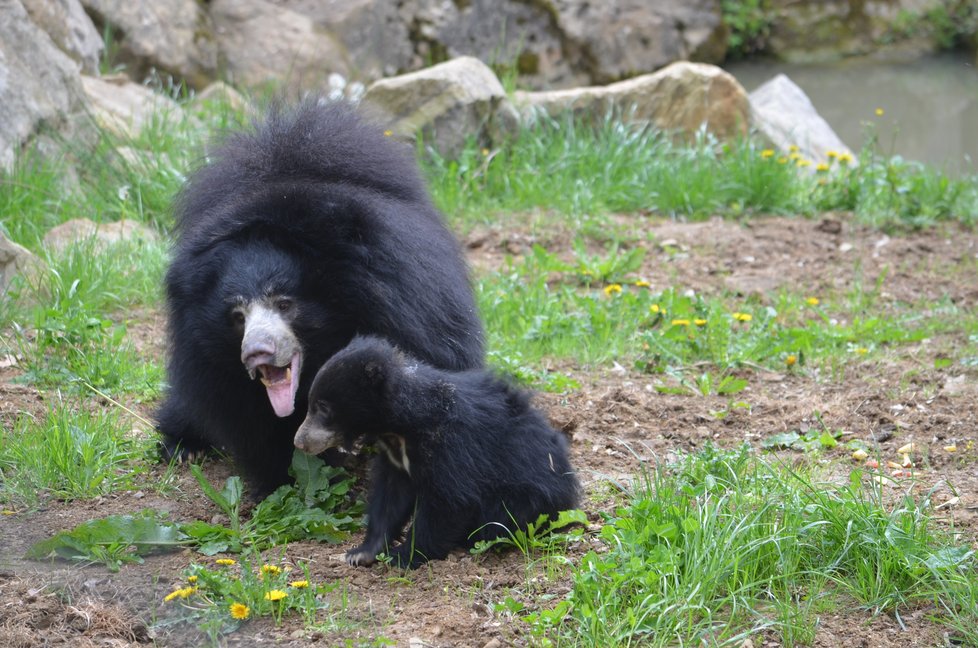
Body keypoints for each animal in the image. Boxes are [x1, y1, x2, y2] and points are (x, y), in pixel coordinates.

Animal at [158, 101, 486, 496]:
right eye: (237, 316)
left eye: (285, 303)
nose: (256, 354)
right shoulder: (211, 364)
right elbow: (250, 423)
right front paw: (284, 480)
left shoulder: (411, 312)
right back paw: (181, 446)